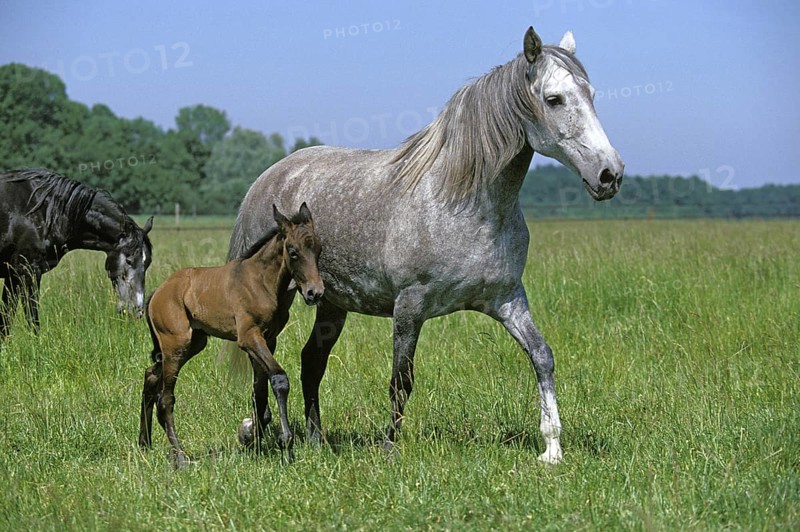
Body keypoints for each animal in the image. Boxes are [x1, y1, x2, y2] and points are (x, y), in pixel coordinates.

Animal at [0, 168, 153, 338]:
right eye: (128, 260)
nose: (137, 310)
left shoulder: (12, 275)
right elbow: (31, 317)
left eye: (147, 263)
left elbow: (5, 319)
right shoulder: (28, 272)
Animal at [138, 203, 323, 467]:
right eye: (293, 251)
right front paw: (286, 446)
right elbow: (279, 379)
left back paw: (144, 442)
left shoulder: (268, 339)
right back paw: (180, 457)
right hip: (176, 345)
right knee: (166, 399)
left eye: (318, 249)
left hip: (193, 344)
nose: (314, 293)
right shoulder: (249, 337)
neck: (261, 282)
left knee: (151, 376)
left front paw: (256, 445)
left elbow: (260, 391)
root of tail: (157, 293)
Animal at [228, 26, 624, 464]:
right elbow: (401, 379)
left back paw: (317, 439)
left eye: (591, 94)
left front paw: (552, 448)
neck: (464, 205)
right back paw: (256, 433)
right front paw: (389, 446)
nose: (610, 174)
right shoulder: (409, 306)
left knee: (311, 361)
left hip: (331, 302)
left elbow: (542, 357)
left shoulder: (508, 299)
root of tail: (268, 179)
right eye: (554, 99)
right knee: (263, 359)